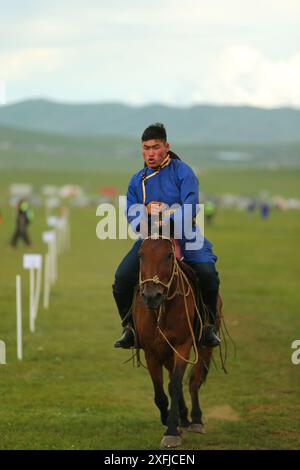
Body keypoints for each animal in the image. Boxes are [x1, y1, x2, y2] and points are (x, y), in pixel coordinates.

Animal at [132, 237, 221, 446]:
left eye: (169, 255)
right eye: (140, 255)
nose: (151, 296)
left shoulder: (182, 346)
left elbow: (174, 386)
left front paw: (172, 431)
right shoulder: (152, 351)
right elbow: (160, 391)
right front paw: (168, 419)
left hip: (204, 346)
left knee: (193, 381)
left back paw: (195, 419)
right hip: (166, 354)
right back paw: (184, 418)